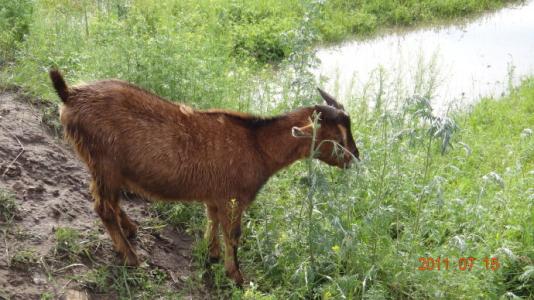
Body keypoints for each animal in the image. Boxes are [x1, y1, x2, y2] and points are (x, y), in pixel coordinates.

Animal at [49, 69, 360, 284]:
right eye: (337, 138)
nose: (355, 158)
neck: (258, 145)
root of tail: (70, 95)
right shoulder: (234, 198)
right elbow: (233, 235)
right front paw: (236, 276)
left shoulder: (215, 196)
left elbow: (211, 221)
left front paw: (211, 254)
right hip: (105, 162)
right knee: (103, 207)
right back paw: (131, 257)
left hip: (101, 166)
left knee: (108, 202)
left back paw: (131, 230)